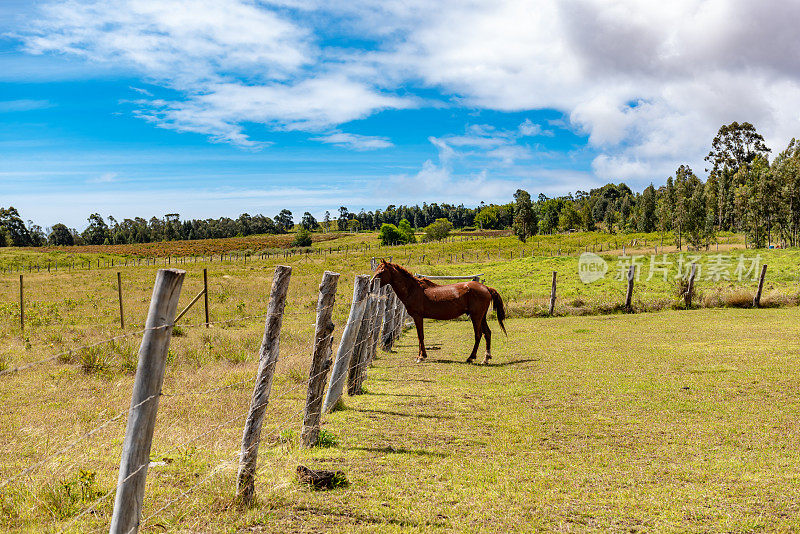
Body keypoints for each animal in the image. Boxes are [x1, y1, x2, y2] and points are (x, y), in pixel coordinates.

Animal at [370, 262, 506, 366]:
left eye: (381, 272)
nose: (371, 285)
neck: (413, 289)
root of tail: (486, 288)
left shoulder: (418, 317)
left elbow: (420, 336)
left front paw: (421, 356)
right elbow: (420, 336)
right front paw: (420, 355)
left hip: (476, 317)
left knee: (478, 335)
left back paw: (471, 357)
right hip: (481, 317)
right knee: (487, 333)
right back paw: (486, 358)